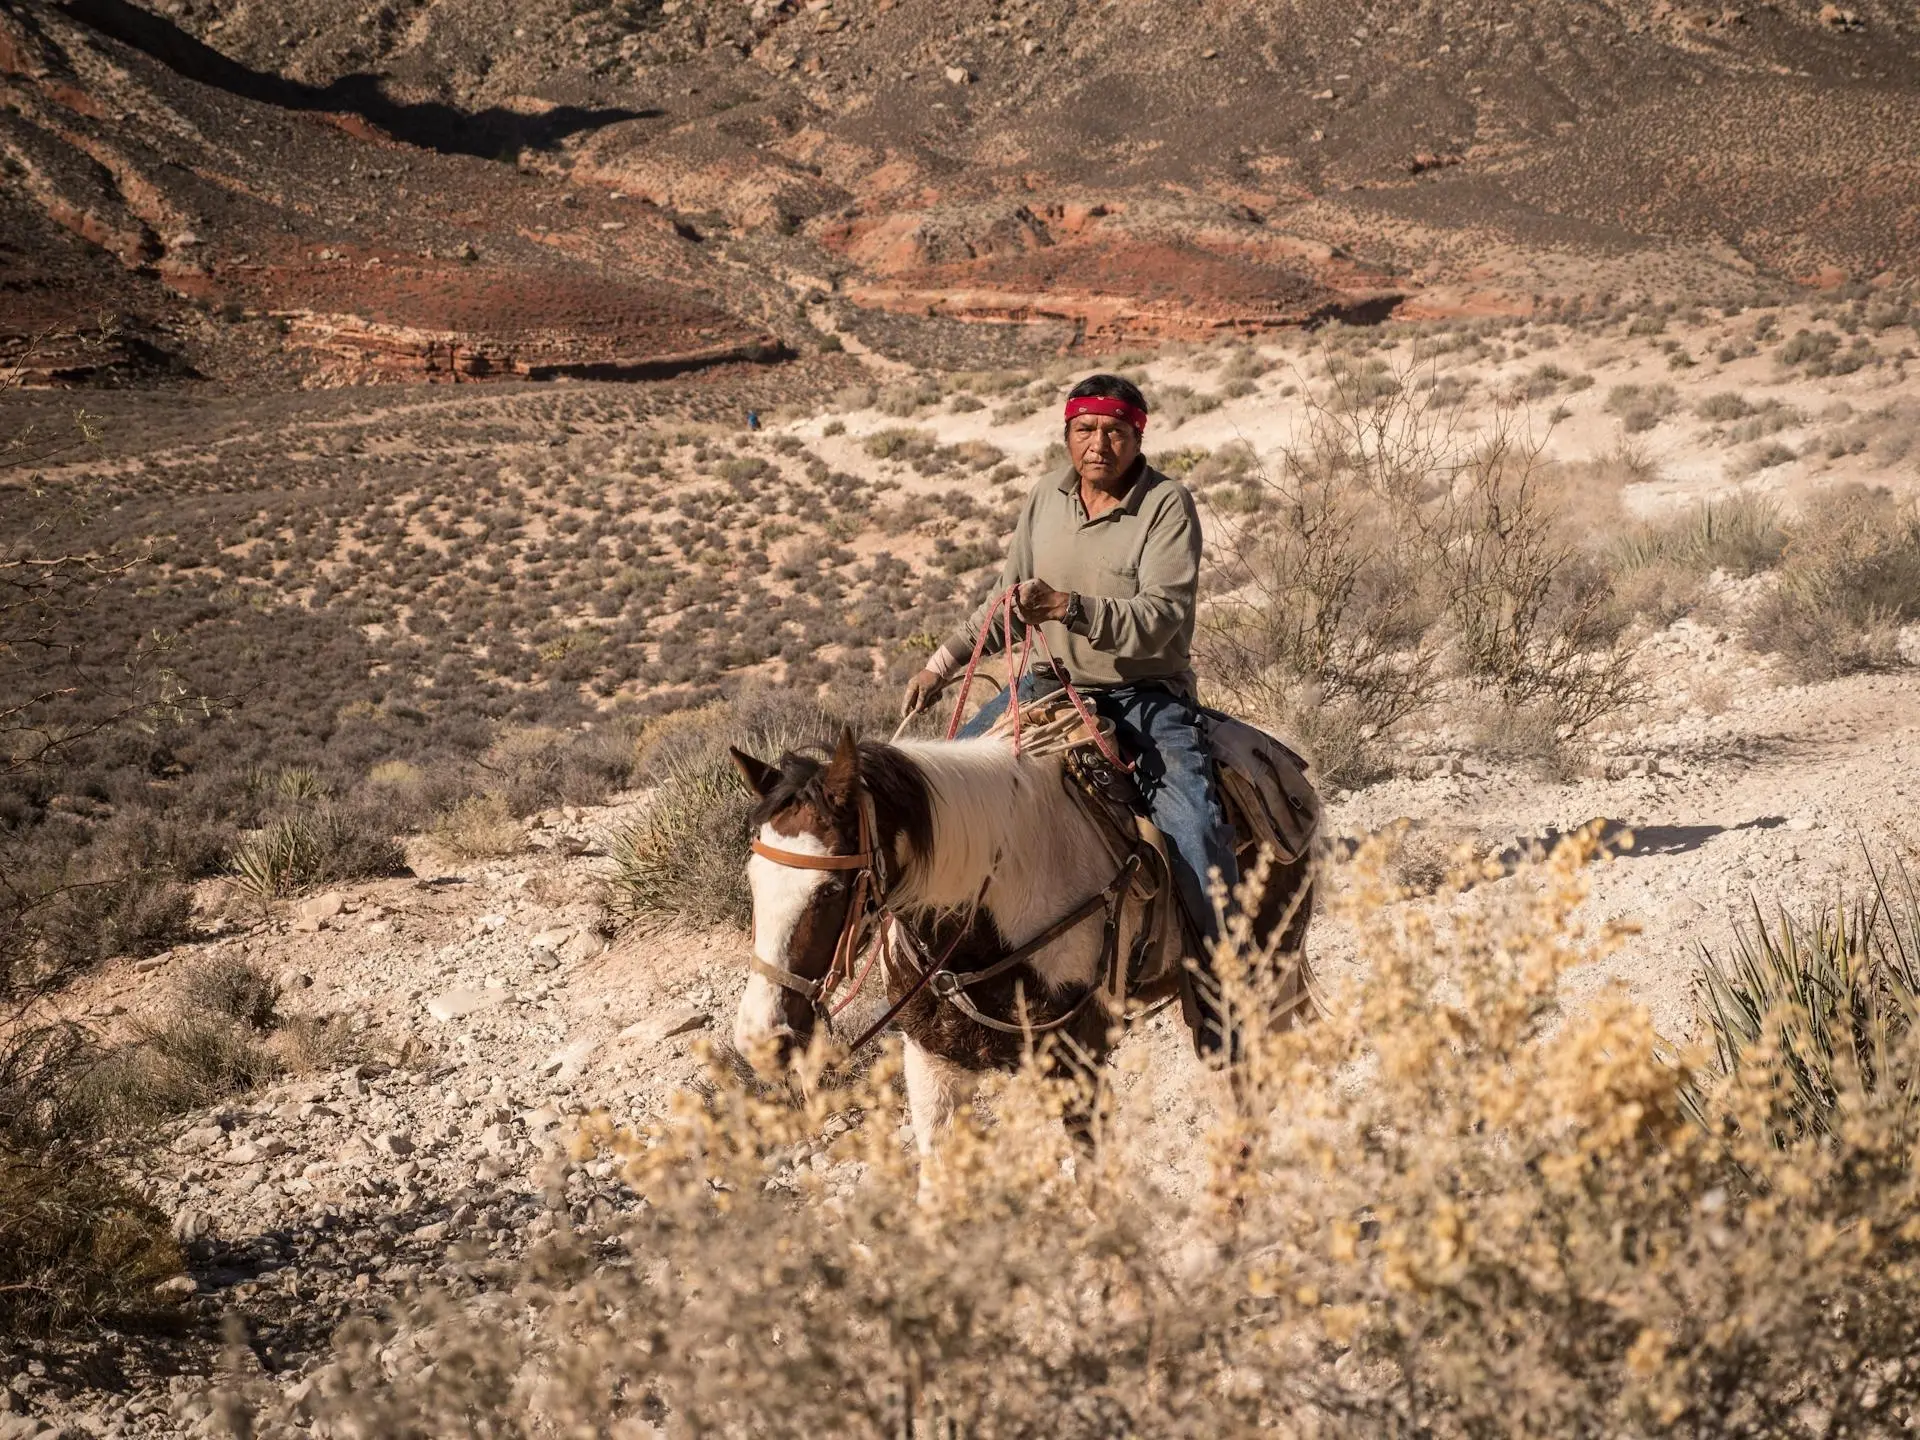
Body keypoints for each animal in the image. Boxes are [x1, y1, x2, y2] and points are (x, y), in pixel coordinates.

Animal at [725, 733, 1313, 1159]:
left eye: (830, 890)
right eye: (752, 879)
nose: (761, 1037)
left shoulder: (1078, 1065)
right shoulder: (931, 1062)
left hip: (1264, 969)